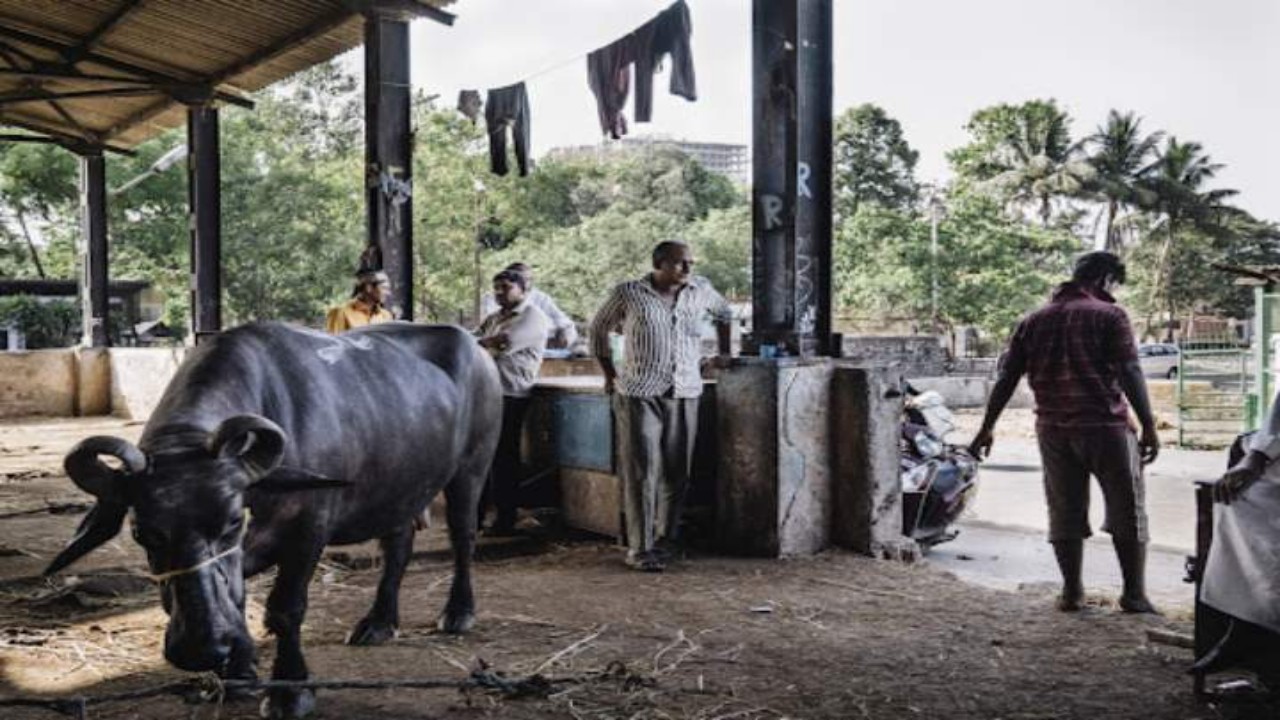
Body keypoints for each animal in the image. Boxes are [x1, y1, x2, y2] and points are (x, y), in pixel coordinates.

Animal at [45, 322, 496, 712]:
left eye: (232, 522)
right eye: (142, 533)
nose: (201, 648)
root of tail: (478, 352)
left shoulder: (308, 531)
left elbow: (285, 608)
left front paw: (290, 690)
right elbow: (237, 597)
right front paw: (239, 672)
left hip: (470, 470)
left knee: (462, 536)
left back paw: (458, 612)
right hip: (401, 486)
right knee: (398, 546)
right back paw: (379, 622)